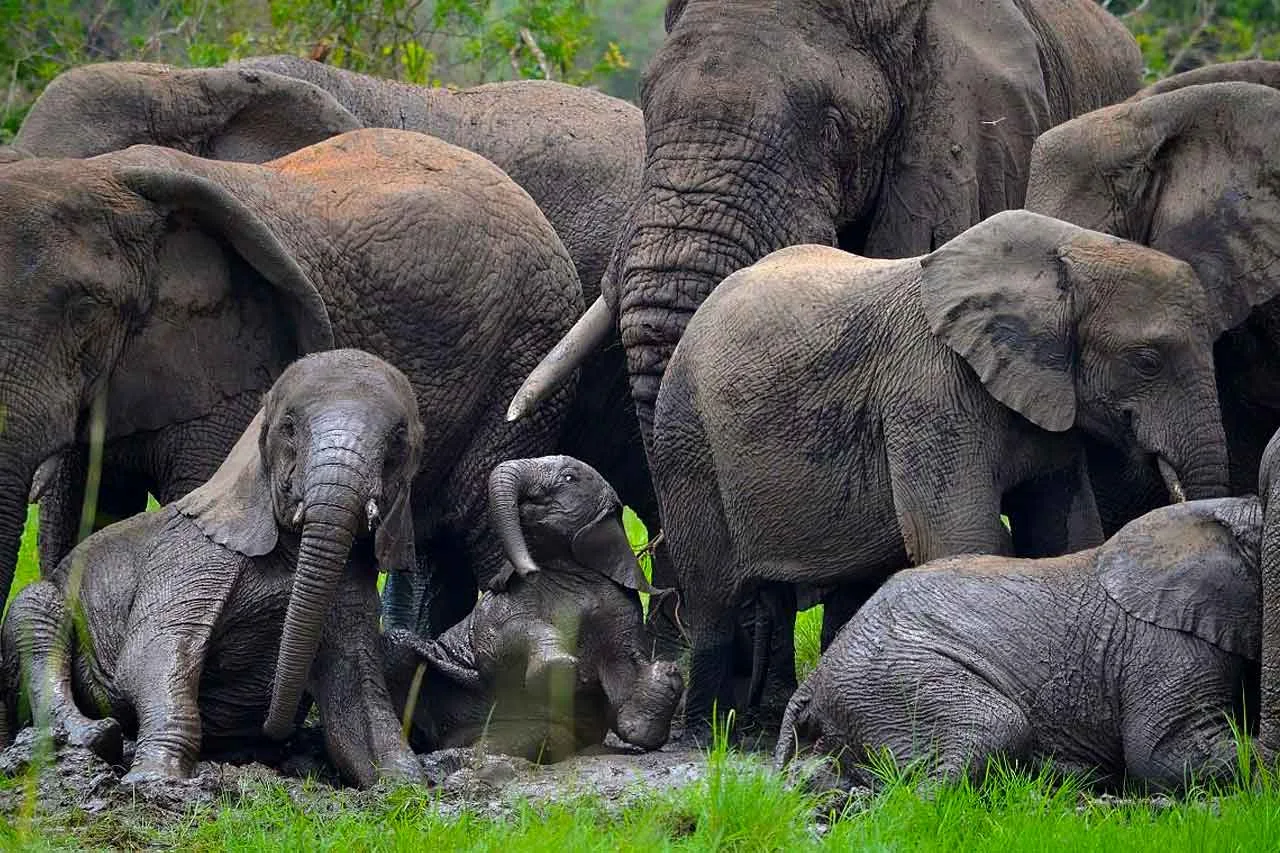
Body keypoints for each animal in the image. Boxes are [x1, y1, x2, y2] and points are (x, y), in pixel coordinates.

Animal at [0, 350, 425, 788]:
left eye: (399, 439)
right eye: (289, 427)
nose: (274, 728)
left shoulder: (352, 588)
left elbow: (356, 693)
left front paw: (406, 788)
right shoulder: (192, 557)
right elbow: (151, 655)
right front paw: (155, 781)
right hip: (47, 605)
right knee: (37, 612)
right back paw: (92, 738)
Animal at [382, 456, 682, 761]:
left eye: (569, 478)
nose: (528, 569)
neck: (568, 569)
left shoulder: (621, 606)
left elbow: (622, 670)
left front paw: (666, 679)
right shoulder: (501, 605)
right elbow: (499, 642)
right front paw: (560, 668)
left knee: (533, 738)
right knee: (399, 644)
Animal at [651, 209, 1231, 732]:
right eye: (1147, 361)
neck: (1064, 252)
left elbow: (1063, 534)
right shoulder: (930, 390)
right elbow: (959, 539)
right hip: (686, 437)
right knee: (712, 594)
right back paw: (706, 731)